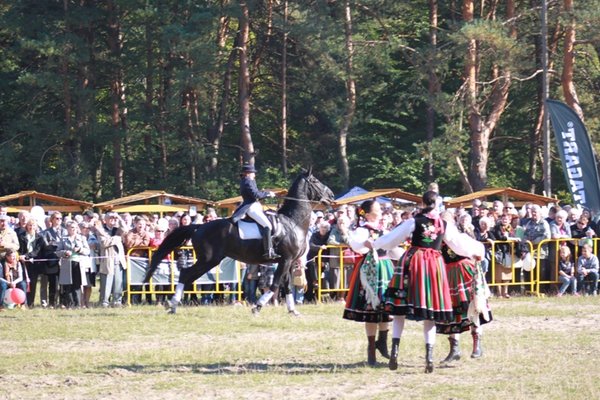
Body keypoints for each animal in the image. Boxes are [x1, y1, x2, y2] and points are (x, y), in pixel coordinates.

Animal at [143, 167, 336, 314]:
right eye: (315, 181)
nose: (332, 196)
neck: (292, 222)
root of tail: (198, 227)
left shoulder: (287, 261)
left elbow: (286, 286)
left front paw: (292, 311)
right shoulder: (286, 260)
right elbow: (275, 285)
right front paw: (257, 306)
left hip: (208, 260)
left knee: (187, 275)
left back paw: (173, 305)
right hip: (209, 260)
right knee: (185, 274)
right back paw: (173, 305)